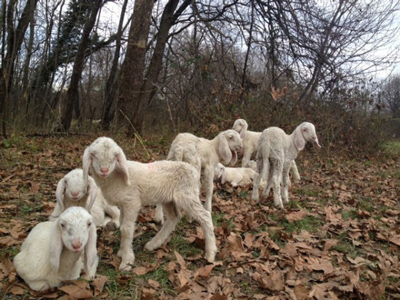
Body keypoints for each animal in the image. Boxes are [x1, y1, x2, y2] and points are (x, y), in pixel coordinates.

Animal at [82, 137, 217, 270]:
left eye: (115, 155)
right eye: (93, 154)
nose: (104, 170)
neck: (115, 176)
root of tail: (192, 169)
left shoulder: (132, 201)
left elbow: (126, 229)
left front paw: (127, 260)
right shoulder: (123, 204)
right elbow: (121, 224)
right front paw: (122, 251)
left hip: (187, 194)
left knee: (205, 216)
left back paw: (210, 253)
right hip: (168, 198)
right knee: (174, 217)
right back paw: (153, 244)